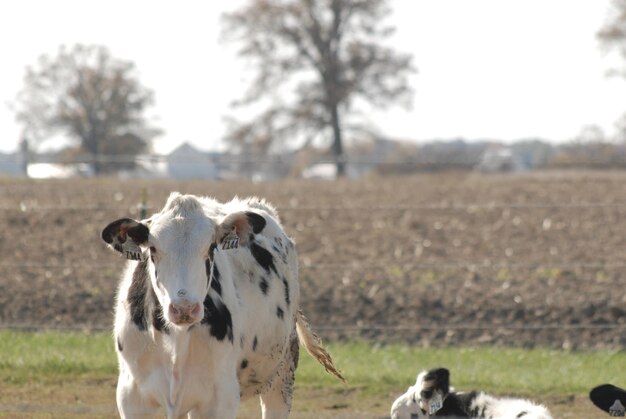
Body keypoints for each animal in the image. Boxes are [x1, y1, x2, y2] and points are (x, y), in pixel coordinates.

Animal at [101, 194, 342, 419]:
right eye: (152, 249)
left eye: (210, 247)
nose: (184, 308)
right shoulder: (132, 397)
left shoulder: (219, 399)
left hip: (282, 374)